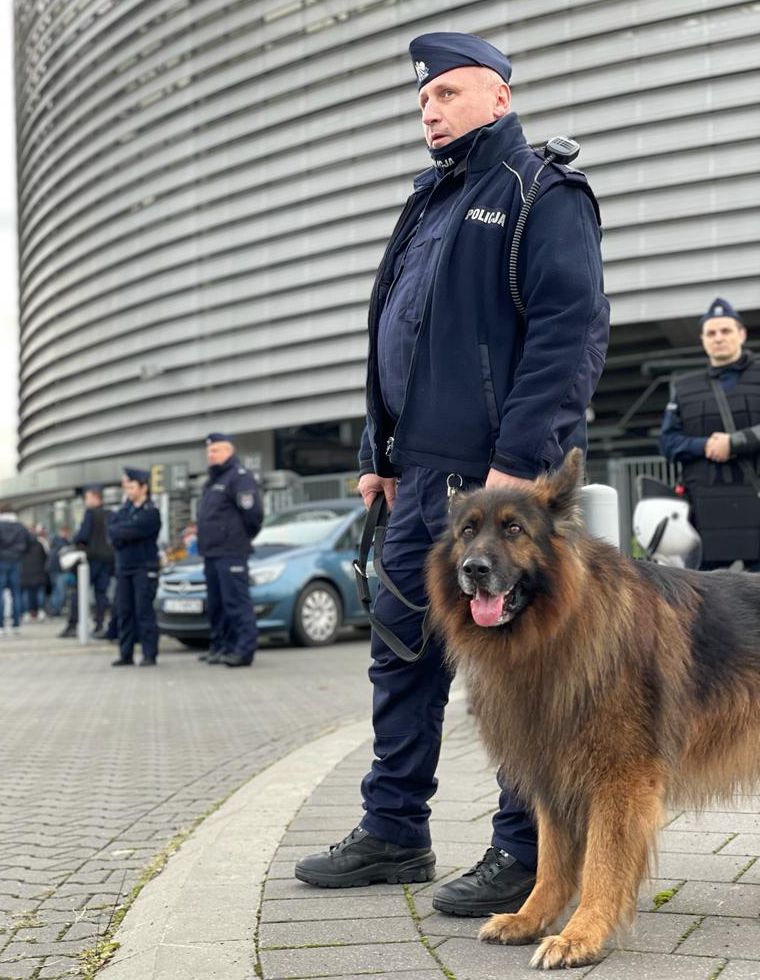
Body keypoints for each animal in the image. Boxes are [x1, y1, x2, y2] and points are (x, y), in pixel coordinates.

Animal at [424, 448, 760, 968]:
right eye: (467, 531)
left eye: (514, 529)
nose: (474, 569)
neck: (560, 626)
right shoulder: (553, 768)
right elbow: (552, 861)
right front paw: (531, 918)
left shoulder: (619, 779)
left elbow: (602, 862)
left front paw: (581, 934)